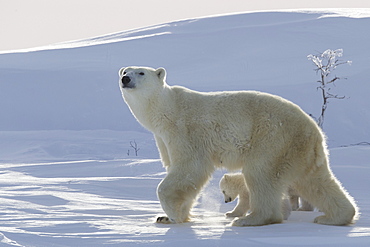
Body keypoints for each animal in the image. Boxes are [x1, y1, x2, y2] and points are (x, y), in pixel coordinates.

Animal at [118, 66, 358, 227]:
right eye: (126, 70)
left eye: (141, 72)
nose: (125, 78)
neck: (167, 110)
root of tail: (314, 130)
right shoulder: (162, 138)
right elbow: (178, 172)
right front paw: (165, 217)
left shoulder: (185, 131)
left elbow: (189, 169)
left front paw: (173, 214)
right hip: (298, 150)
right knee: (316, 181)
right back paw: (334, 217)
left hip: (272, 138)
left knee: (261, 174)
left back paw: (251, 219)